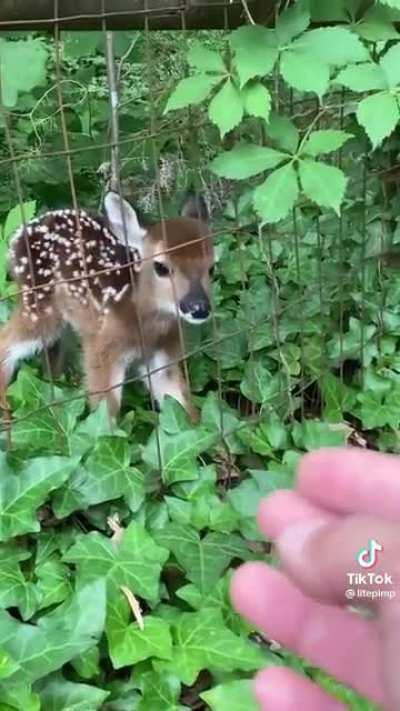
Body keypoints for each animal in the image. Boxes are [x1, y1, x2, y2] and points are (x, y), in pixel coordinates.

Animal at [0, 192, 214, 422]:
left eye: (212, 267)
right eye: (161, 267)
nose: (199, 307)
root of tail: (18, 235)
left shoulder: (164, 353)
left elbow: (181, 404)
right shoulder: (101, 350)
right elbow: (105, 415)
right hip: (39, 305)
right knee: (6, 343)